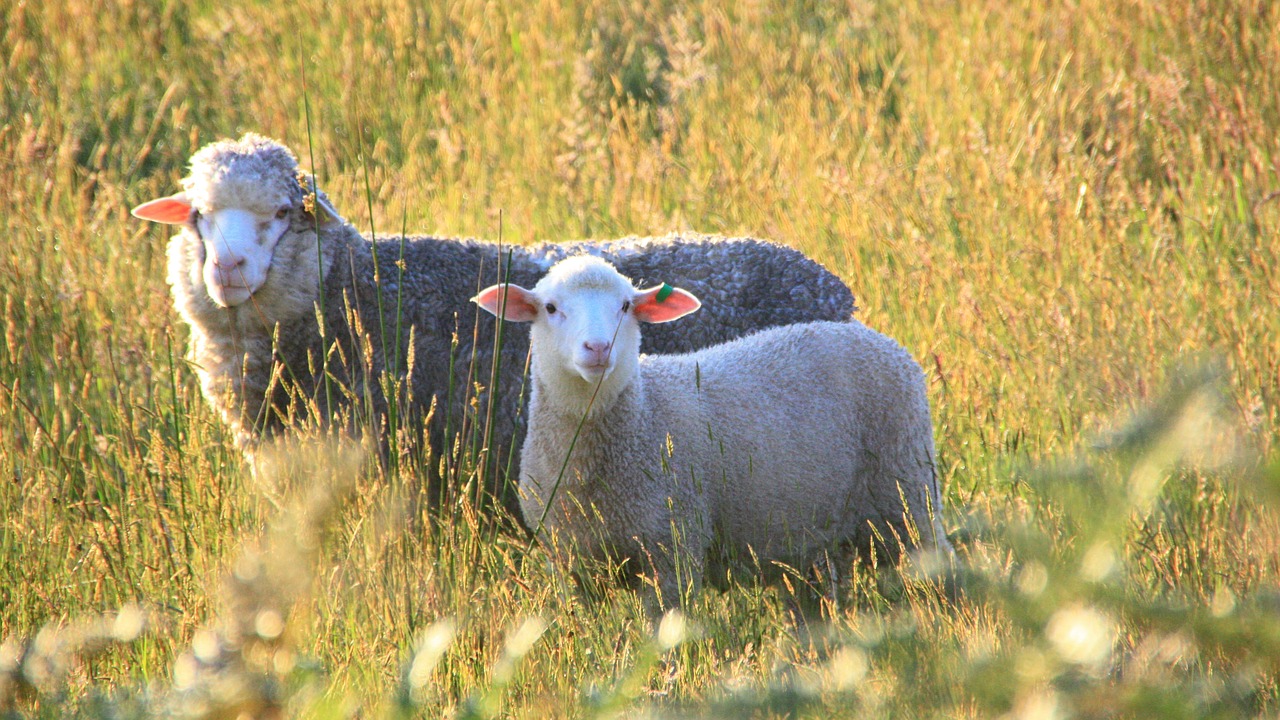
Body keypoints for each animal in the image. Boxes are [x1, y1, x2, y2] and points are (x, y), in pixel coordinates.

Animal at [473, 254, 952, 607]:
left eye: (625, 306)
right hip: (815, 539)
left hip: (908, 493)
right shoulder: (572, 562)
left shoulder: (674, 548)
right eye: (551, 309)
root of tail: (882, 340)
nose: (598, 348)